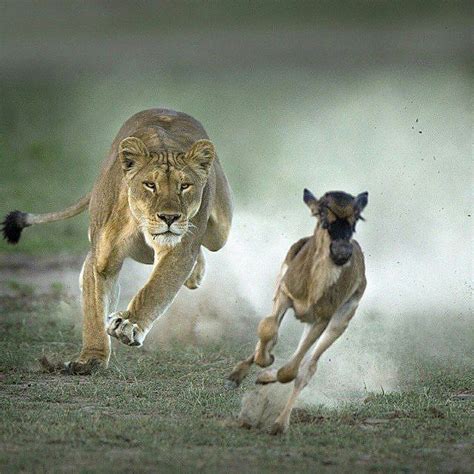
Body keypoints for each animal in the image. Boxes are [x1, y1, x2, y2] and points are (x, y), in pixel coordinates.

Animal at [228, 188, 368, 434]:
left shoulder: (323, 319)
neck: (312, 290)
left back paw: (279, 421)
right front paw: (263, 361)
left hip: (338, 321)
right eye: (321, 214)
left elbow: (291, 371)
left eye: (356, 218)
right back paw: (239, 373)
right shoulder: (284, 293)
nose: (342, 252)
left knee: (307, 368)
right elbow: (267, 328)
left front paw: (266, 378)